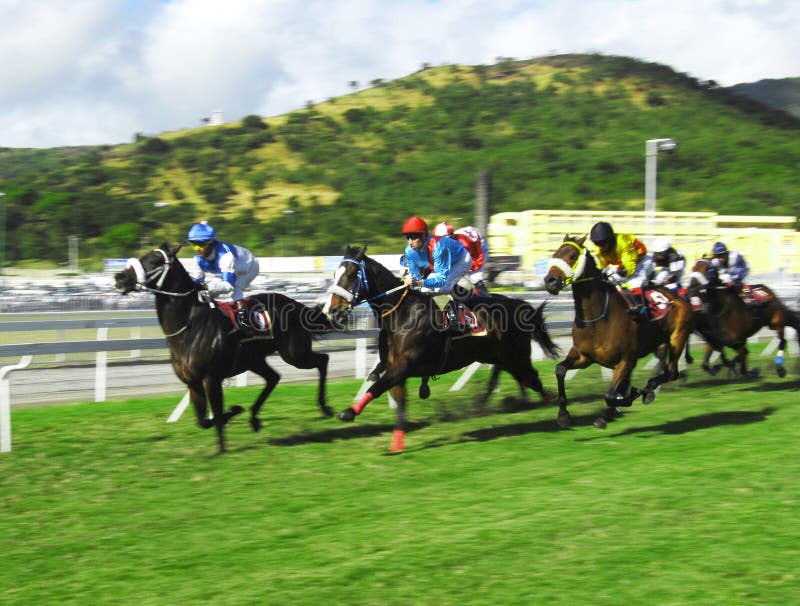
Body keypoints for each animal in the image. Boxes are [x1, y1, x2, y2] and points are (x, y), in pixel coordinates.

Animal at [322, 246, 560, 452]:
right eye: (335, 273)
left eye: (352, 274)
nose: (332, 310)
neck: (402, 315)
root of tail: (519, 304)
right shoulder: (395, 368)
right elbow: (398, 403)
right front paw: (397, 445)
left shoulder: (403, 366)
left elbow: (376, 387)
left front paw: (348, 412)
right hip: (501, 357)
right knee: (523, 380)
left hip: (516, 356)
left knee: (531, 378)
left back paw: (553, 406)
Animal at [544, 235, 692, 430]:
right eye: (555, 254)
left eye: (573, 255)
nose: (550, 281)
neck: (598, 318)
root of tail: (679, 296)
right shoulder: (585, 356)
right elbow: (560, 369)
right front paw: (563, 415)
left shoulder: (626, 360)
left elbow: (611, 395)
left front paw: (624, 401)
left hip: (677, 337)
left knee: (671, 372)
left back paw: (648, 389)